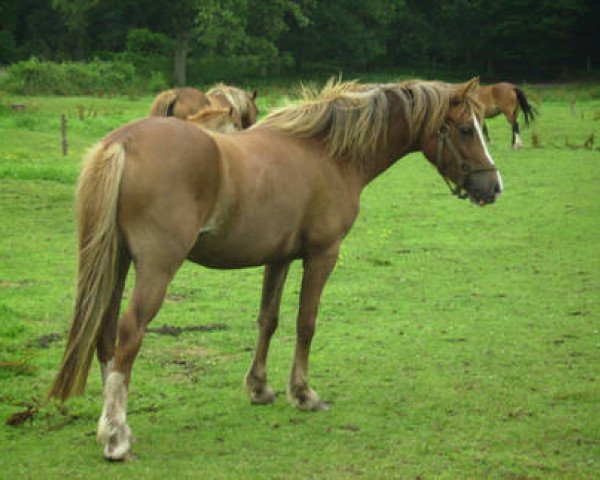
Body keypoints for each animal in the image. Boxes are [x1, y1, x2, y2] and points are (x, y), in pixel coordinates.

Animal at [49, 77, 504, 460]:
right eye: (466, 130)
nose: (494, 186)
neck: (327, 153)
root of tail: (122, 142)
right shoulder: (322, 255)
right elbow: (306, 323)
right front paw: (303, 393)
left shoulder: (279, 257)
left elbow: (268, 319)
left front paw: (259, 387)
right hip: (155, 270)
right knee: (129, 335)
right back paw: (116, 436)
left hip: (116, 263)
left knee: (106, 335)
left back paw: (113, 422)